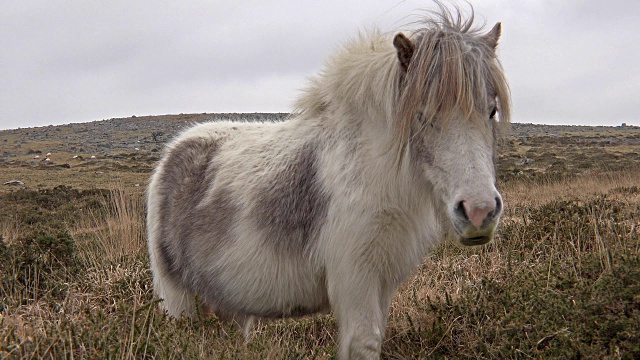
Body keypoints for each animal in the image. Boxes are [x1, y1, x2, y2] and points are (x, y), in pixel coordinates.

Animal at [146, 3, 510, 360]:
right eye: (422, 114)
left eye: (491, 111)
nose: (479, 213)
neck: (372, 167)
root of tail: (173, 154)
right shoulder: (354, 281)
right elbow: (364, 343)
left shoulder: (382, 283)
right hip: (178, 302)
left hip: (229, 310)